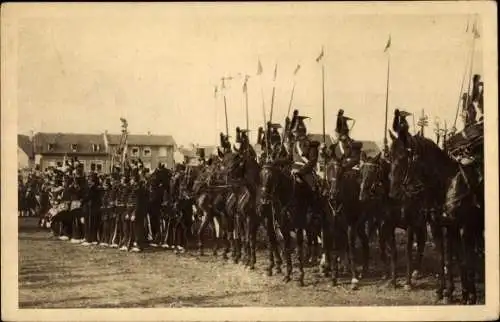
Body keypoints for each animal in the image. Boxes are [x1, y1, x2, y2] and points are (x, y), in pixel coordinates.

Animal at [386, 131, 484, 304]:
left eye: (404, 156)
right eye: (390, 156)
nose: (393, 193)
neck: (447, 185)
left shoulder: (463, 227)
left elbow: (465, 259)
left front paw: (469, 295)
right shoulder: (440, 226)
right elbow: (446, 259)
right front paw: (445, 292)